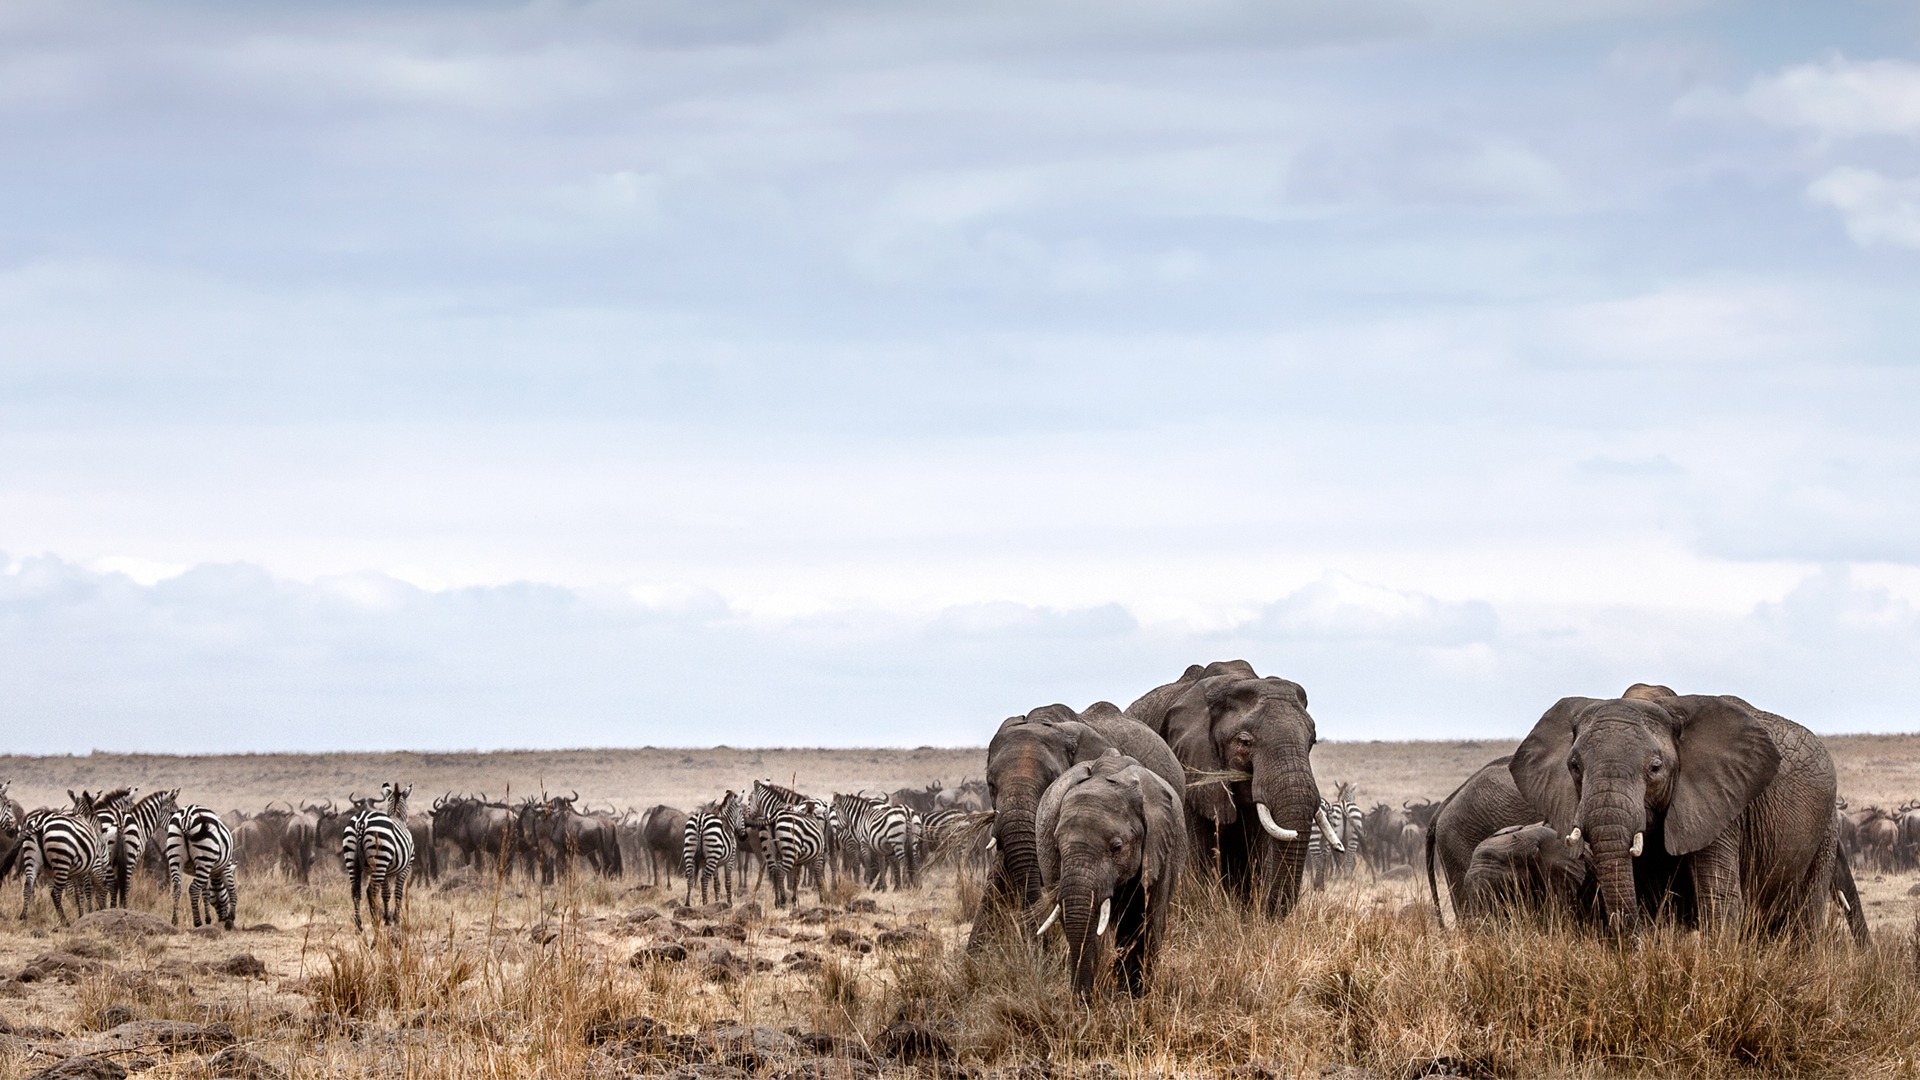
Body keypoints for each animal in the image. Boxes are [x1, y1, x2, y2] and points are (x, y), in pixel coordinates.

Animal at [343, 782, 416, 930]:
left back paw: (359, 925)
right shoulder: (406, 867)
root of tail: (362, 820)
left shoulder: (386, 871)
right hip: (380, 859)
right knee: (371, 891)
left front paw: (388, 919)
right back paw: (374, 920)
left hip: (352, 857)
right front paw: (395, 920)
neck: (397, 817)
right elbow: (398, 892)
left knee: (355, 891)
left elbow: (386, 893)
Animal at [1034, 750, 1186, 999]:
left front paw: (1133, 999)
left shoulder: (1161, 846)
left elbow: (1147, 920)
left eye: (1117, 847)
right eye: (1057, 846)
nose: (1081, 1001)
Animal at [1509, 684, 1869, 942]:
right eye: (1574, 766)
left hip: (1824, 831)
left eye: (1655, 768)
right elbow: (1648, 900)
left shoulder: (1722, 806)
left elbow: (1718, 901)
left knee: (1803, 921)